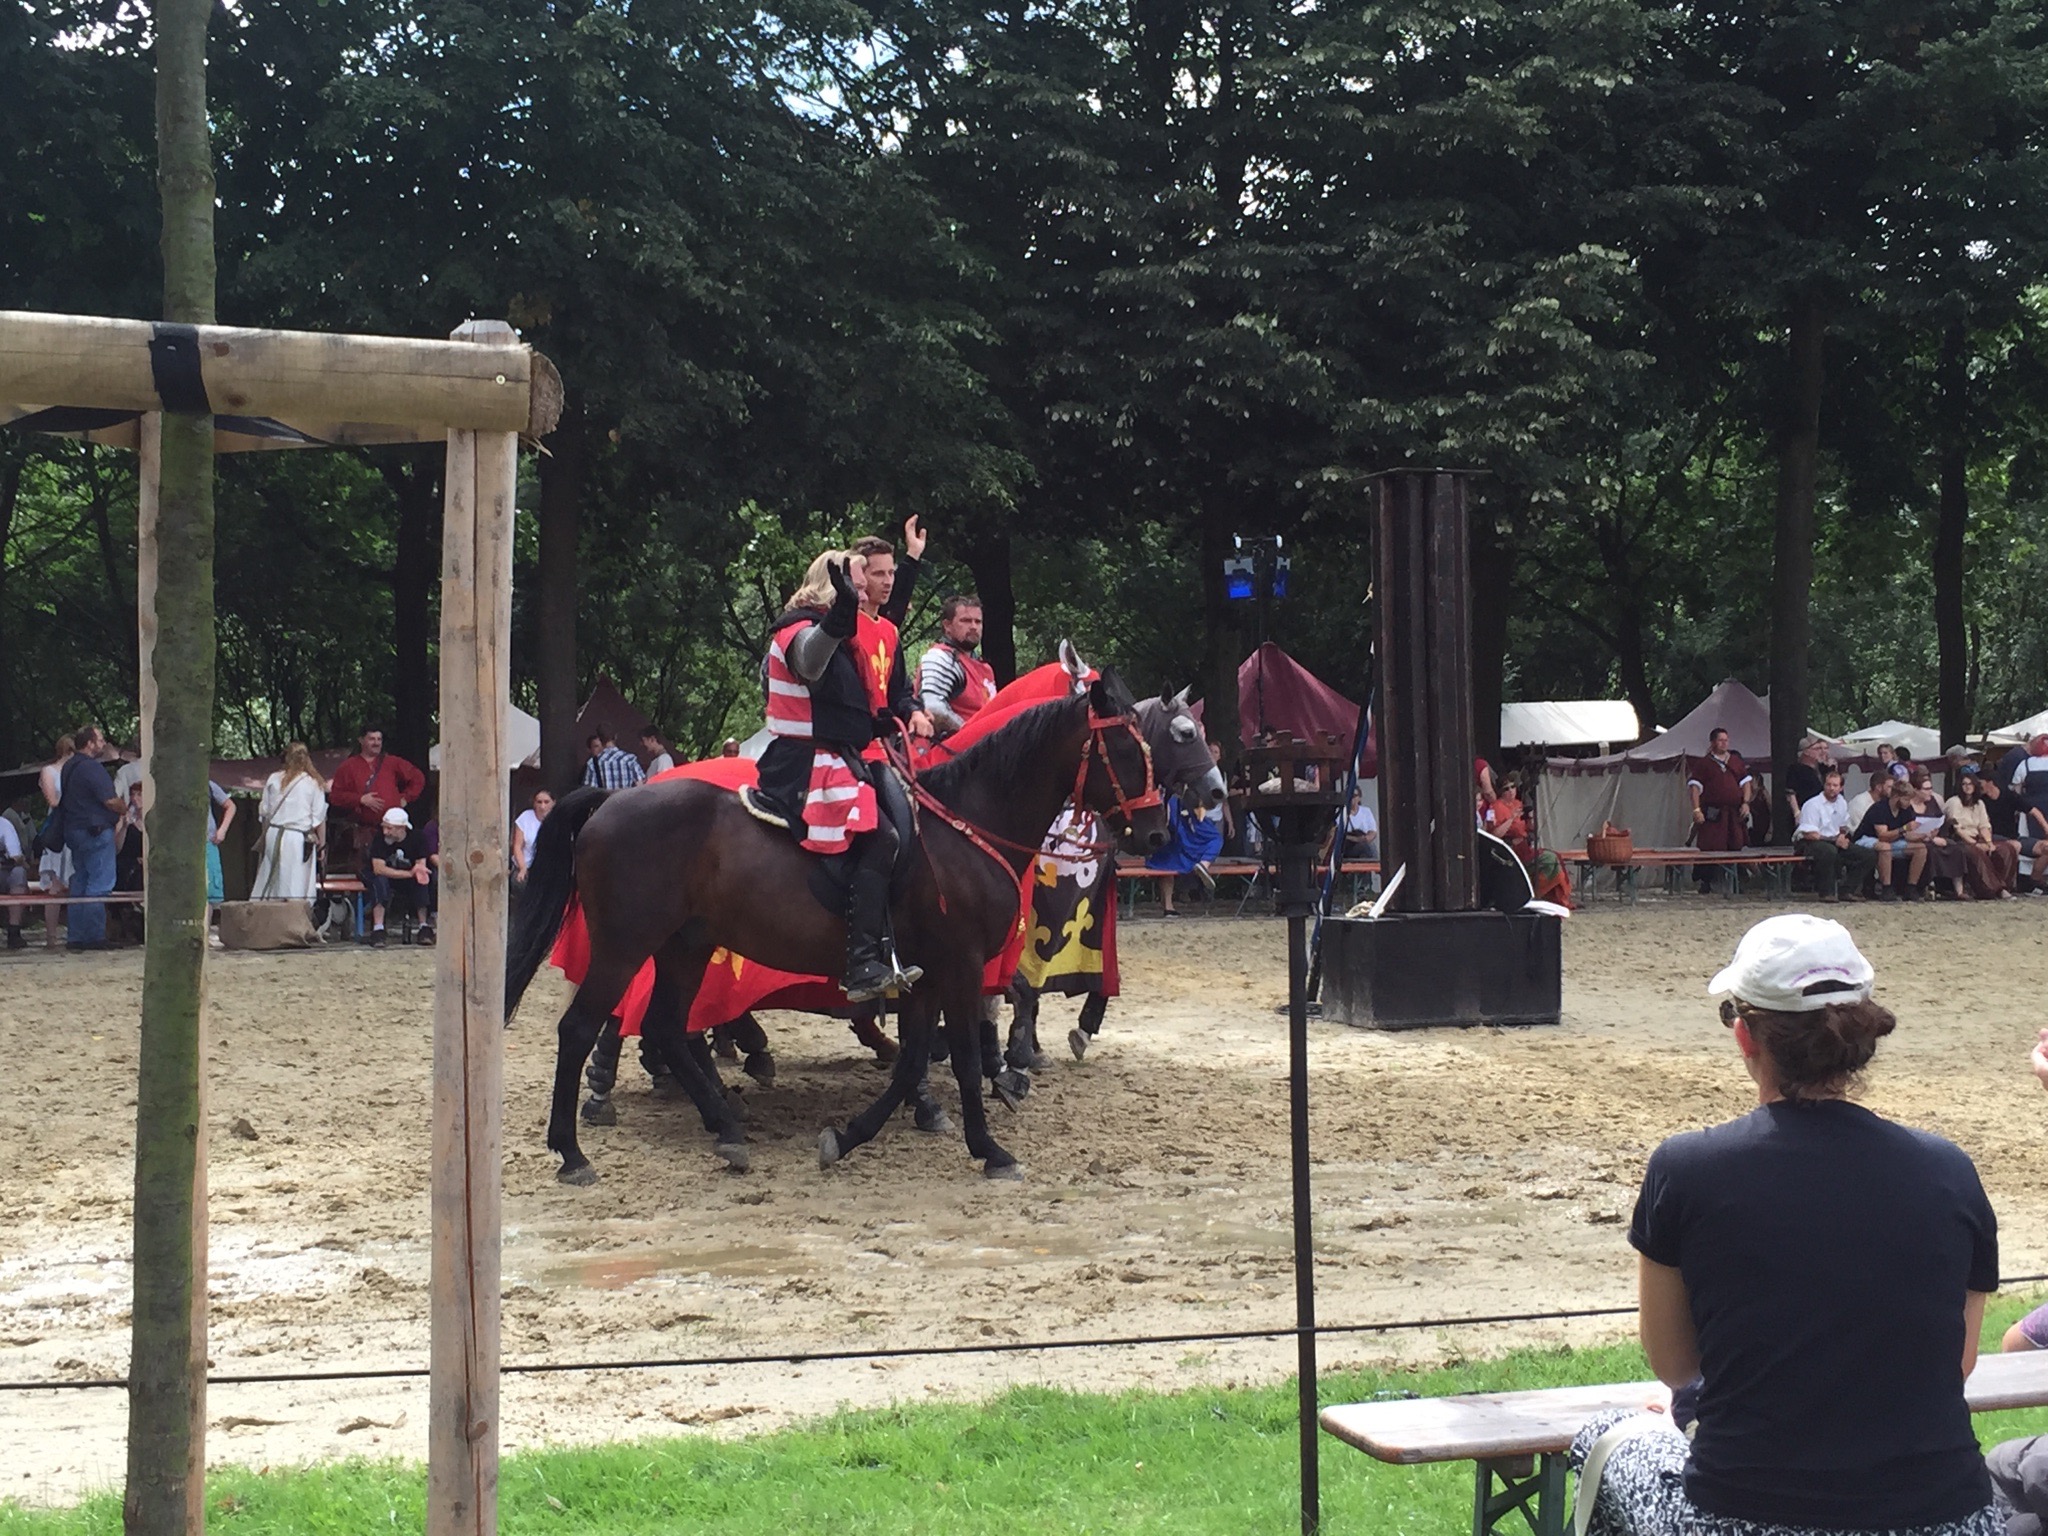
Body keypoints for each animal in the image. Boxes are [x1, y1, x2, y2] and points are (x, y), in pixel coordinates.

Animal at [506, 653, 1169, 1183]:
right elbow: (958, 1056)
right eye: (1128, 750)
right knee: (582, 1028)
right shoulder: (958, 964)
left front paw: (849, 1136)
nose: (1158, 833)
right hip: (623, 945)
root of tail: (610, 800)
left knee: (666, 1026)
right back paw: (572, 1151)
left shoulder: (924, 973)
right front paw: (989, 1148)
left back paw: (725, 1129)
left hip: (684, 946)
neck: (966, 823)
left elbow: (911, 1062)